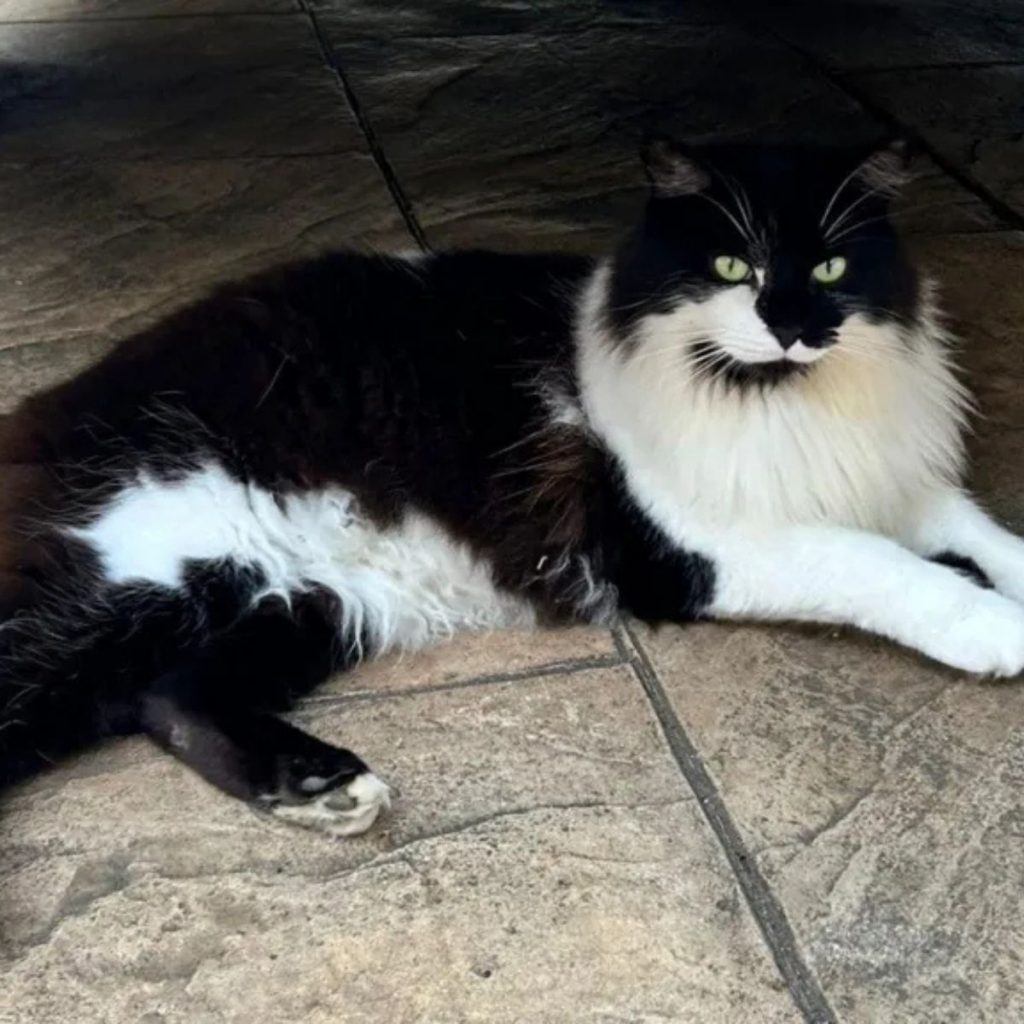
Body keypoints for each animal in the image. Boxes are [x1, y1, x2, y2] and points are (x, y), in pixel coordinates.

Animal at [2, 136, 1024, 835]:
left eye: (831, 266)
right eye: (734, 267)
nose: (792, 326)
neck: (780, 401)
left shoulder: (892, 482)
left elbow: (982, 533)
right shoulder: (695, 546)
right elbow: (882, 568)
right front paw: (992, 628)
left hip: (308, 602)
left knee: (169, 698)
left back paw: (321, 790)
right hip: (140, 576)